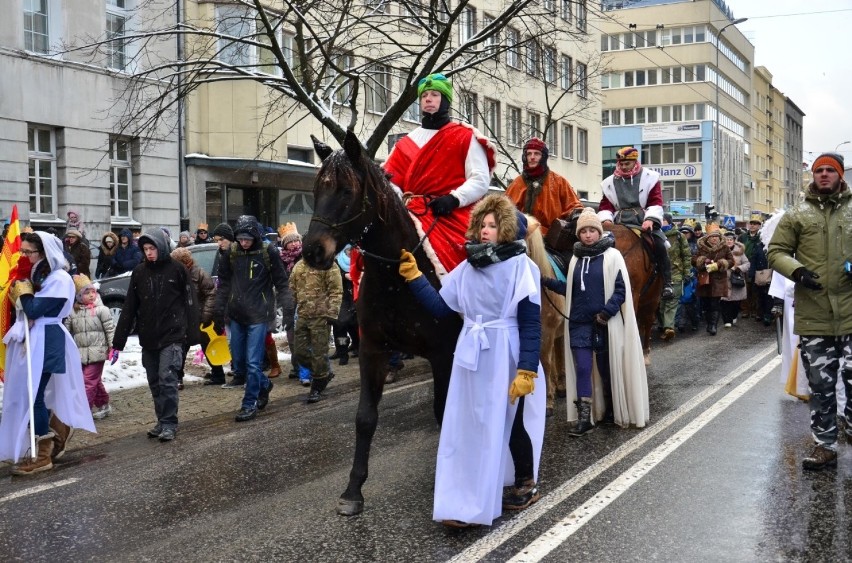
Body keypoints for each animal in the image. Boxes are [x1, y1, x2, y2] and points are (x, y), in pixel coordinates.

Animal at [300, 130, 460, 516]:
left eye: (346, 190)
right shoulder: (373, 349)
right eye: (315, 189)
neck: (396, 274)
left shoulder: (443, 353)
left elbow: (443, 409)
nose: (312, 251)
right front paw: (353, 491)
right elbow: (365, 419)